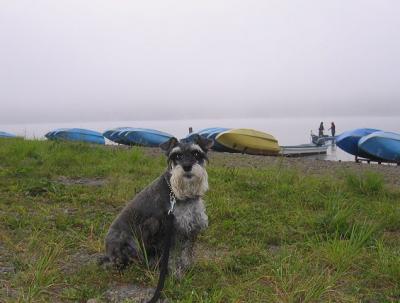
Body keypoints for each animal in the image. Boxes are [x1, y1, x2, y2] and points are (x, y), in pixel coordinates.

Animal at [104, 135, 214, 278]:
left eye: (196, 153)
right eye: (177, 155)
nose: (187, 166)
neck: (179, 194)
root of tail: (108, 252)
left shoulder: (191, 227)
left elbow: (187, 251)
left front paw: (188, 266)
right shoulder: (171, 230)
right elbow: (172, 256)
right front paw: (175, 275)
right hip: (139, 233)